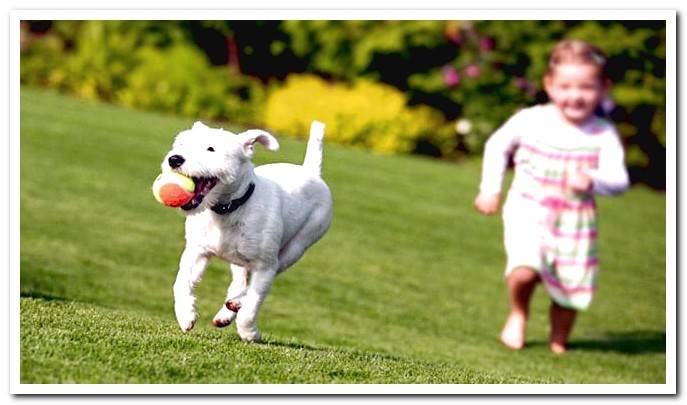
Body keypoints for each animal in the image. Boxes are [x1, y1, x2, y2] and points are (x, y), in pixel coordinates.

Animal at [161, 119, 334, 340]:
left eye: (211, 149)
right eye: (181, 144)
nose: (174, 159)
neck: (227, 209)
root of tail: (311, 172)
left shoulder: (265, 266)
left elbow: (253, 304)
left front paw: (249, 333)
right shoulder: (197, 252)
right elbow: (181, 282)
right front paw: (185, 315)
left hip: (297, 246)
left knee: (265, 278)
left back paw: (237, 305)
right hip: (240, 258)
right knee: (240, 282)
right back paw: (227, 312)